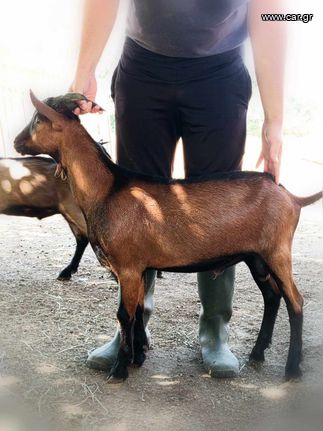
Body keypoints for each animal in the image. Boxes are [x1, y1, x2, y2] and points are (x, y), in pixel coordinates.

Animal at [14, 93, 323, 384]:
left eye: (38, 119)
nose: (17, 142)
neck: (107, 189)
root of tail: (293, 198)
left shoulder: (127, 266)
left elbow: (124, 315)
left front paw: (120, 369)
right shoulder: (139, 267)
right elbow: (139, 310)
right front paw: (138, 356)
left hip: (277, 251)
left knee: (295, 302)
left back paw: (292, 369)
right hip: (256, 257)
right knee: (272, 296)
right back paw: (258, 353)